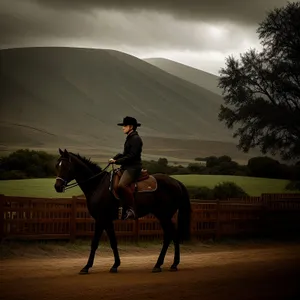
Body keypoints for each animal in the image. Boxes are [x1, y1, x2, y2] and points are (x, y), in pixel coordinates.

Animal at [54, 148, 191, 274]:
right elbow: (112, 242)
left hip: (164, 215)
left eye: (66, 166)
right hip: (163, 216)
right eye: (57, 165)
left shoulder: (101, 219)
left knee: (170, 236)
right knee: (171, 235)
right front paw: (114, 265)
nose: (57, 187)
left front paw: (87, 267)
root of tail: (176, 182)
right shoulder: (106, 221)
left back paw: (164, 265)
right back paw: (169, 264)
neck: (98, 185)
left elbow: (96, 243)